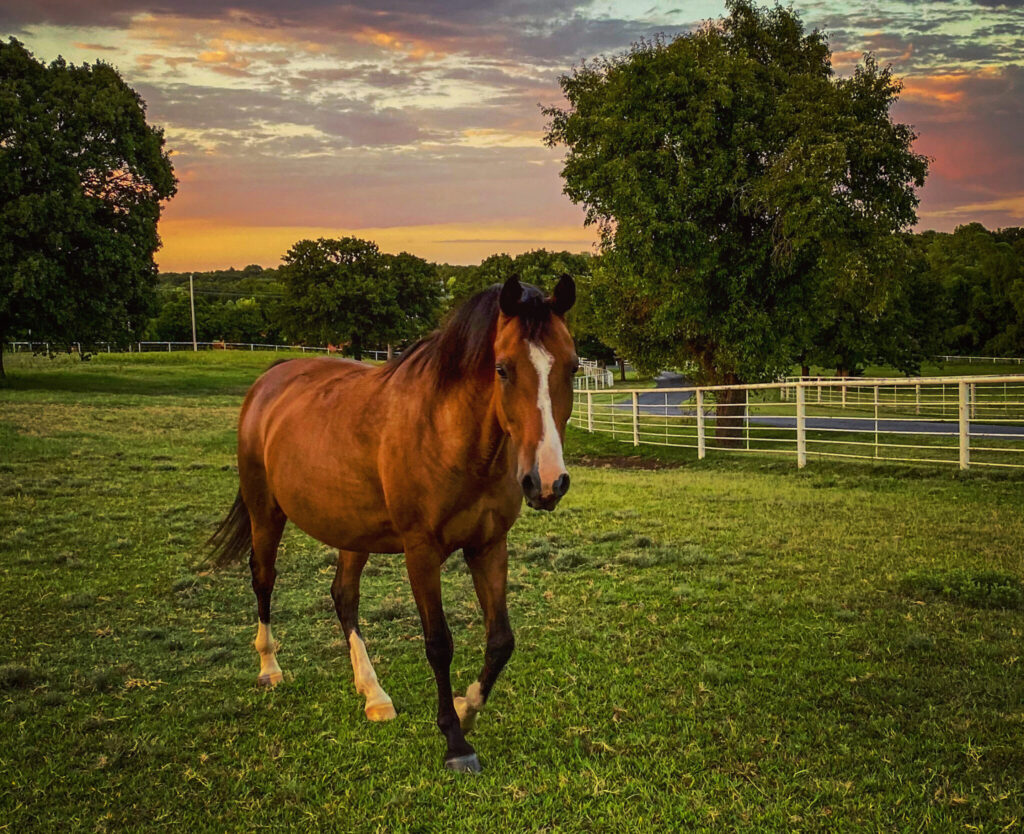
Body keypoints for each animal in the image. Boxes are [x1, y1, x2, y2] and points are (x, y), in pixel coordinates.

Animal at [209, 275, 578, 773]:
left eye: (573, 367)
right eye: (502, 369)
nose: (547, 481)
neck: (447, 433)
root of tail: (271, 379)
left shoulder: (488, 545)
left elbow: (501, 640)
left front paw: (466, 707)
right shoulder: (421, 553)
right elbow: (439, 643)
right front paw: (455, 741)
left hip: (351, 531)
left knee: (343, 597)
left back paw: (373, 694)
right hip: (265, 512)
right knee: (263, 579)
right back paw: (270, 667)